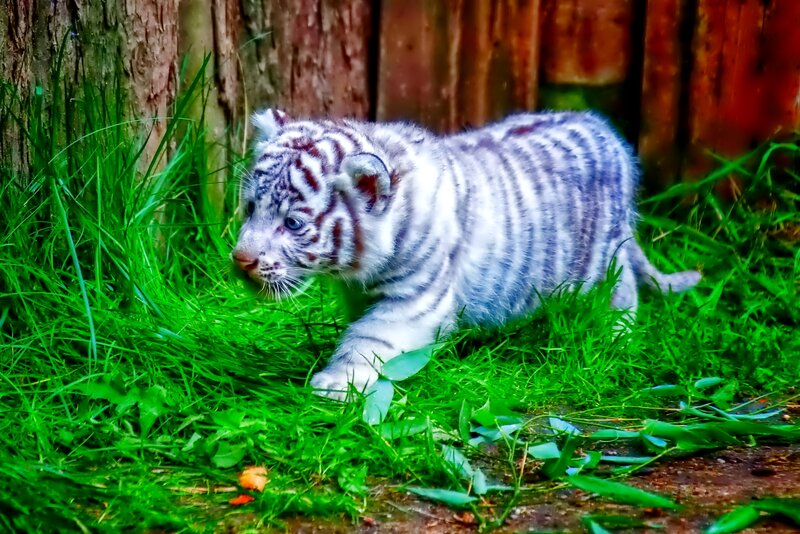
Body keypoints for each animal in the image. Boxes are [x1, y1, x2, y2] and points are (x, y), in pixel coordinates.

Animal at [232, 108, 701, 401]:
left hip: (603, 259)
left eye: (293, 223)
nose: (241, 260)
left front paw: (335, 383)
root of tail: (605, 130)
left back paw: (616, 337)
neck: (358, 268)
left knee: (623, 292)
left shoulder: (415, 301)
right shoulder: (362, 294)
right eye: (251, 208)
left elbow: (368, 338)